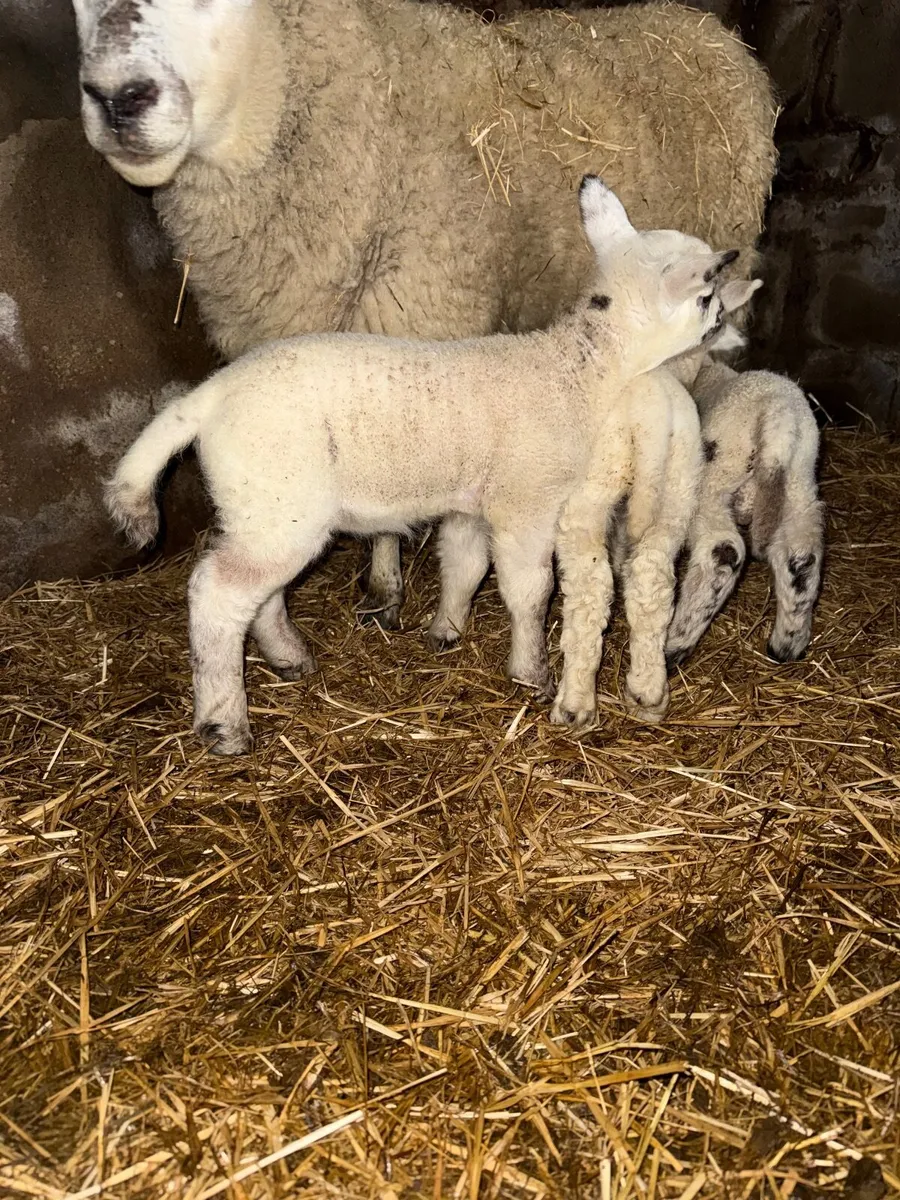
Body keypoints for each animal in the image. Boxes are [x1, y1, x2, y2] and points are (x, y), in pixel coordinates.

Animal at [106, 178, 736, 755]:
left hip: (264, 507)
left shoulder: (474, 502)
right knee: (216, 592)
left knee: (258, 591)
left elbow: (464, 566)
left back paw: (288, 657)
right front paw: (531, 671)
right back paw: (224, 724)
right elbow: (530, 591)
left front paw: (447, 632)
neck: (577, 366)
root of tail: (208, 397)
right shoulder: (526, 500)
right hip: (278, 501)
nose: (722, 316)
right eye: (706, 298)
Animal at [664, 303, 824, 669]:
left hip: (716, 479)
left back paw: (674, 644)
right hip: (800, 485)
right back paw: (786, 645)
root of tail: (780, 418)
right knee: (801, 557)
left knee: (723, 551)